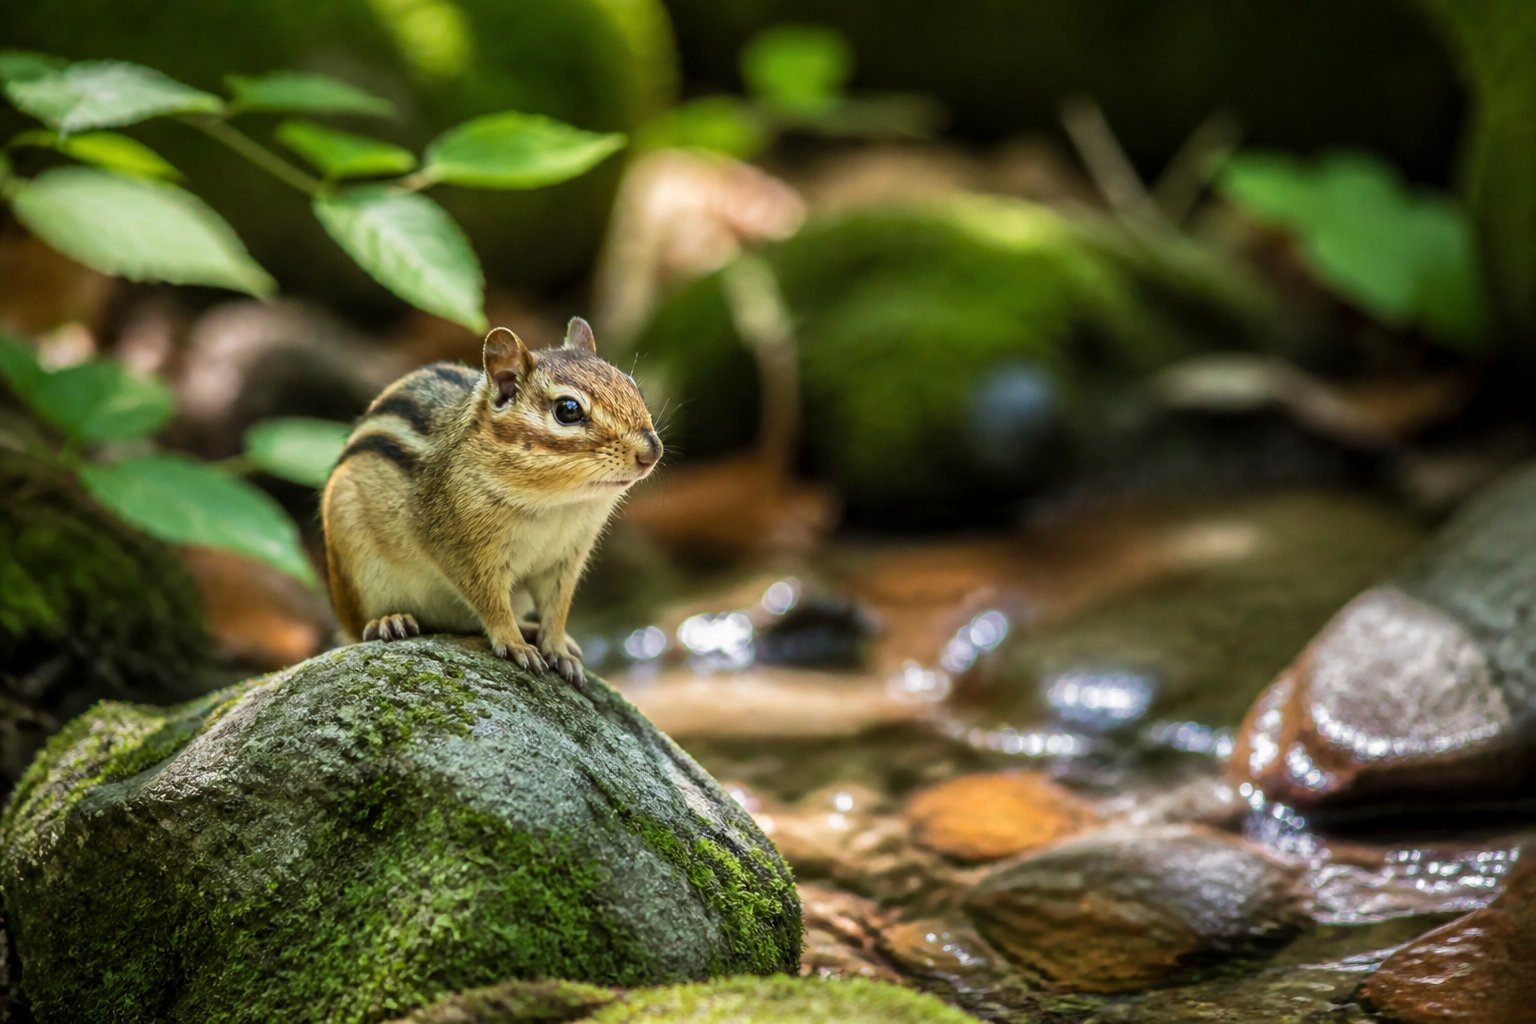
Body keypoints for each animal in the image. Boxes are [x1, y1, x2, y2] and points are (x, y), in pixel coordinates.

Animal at [321, 317, 662, 685]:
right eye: (568, 410)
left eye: (633, 387)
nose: (652, 451)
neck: (559, 504)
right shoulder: (463, 551)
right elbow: (492, 603)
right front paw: (514, 644)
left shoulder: (565, 559)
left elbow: (557, 608)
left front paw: (556, 647)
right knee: (358, 629)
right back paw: (389, 620)